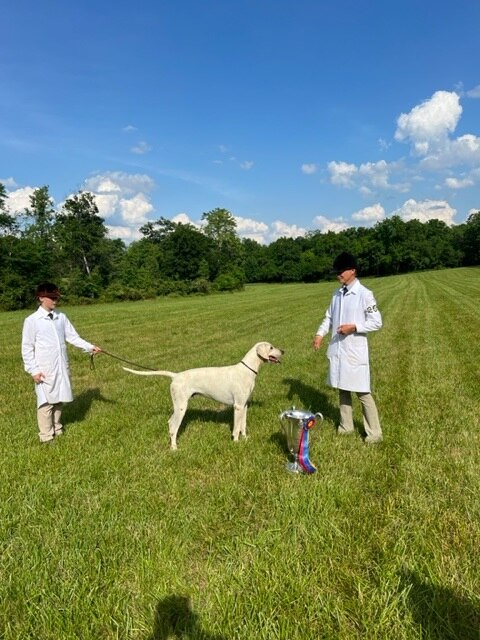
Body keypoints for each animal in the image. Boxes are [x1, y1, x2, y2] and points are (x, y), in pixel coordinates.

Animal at [122, 340, 284, 450]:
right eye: (271, 347)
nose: (283, 351)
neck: (247, 370)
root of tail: (176, 376)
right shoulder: (237, 406)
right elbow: (236, 428)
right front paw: (236, 442)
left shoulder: (244, 405)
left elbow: (242, 425)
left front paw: (245, 439)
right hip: (181, 407)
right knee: (174, 426)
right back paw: (174, 448)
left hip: (178, 406)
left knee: (169, 423)